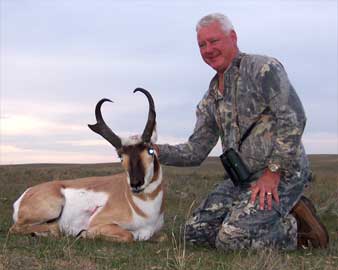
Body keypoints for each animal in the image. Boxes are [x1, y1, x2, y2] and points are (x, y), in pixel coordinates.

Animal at [10, 88, 164, 243]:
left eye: (150, 150)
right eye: (120, 156)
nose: (136, 184)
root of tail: (25, 194)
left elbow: (163, 236)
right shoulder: (99, 222)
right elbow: (129, 235)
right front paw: (83, 233)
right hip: (53, 207)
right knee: (23, 228)